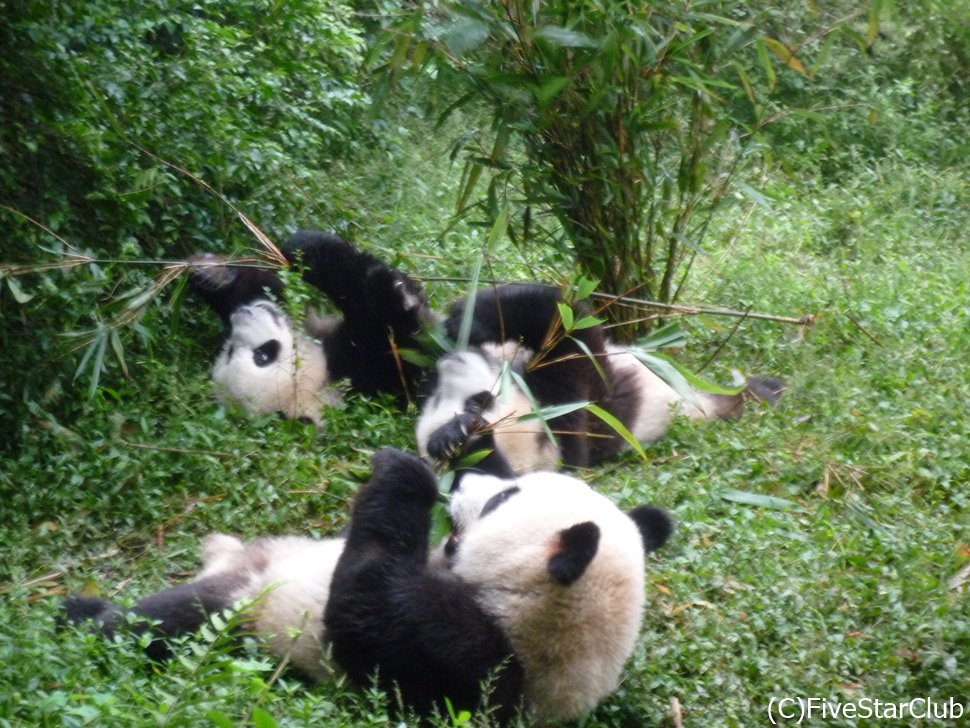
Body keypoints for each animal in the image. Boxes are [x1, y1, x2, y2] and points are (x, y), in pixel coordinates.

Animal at [62, 446, 672, 724]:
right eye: (510, 486)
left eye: (502, 499)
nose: (466, 480)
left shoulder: (477, 661)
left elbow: (366, 613)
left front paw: (407, 472)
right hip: (257, 564)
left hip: (239, 613)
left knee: (165, 623)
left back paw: (82, 621)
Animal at [414, 282, 780, 474]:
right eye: (437, 399)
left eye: (478, 402)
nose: (452, 361)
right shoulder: (574, 415)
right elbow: (575, 340)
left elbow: (561, 321)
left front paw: (463, 318)